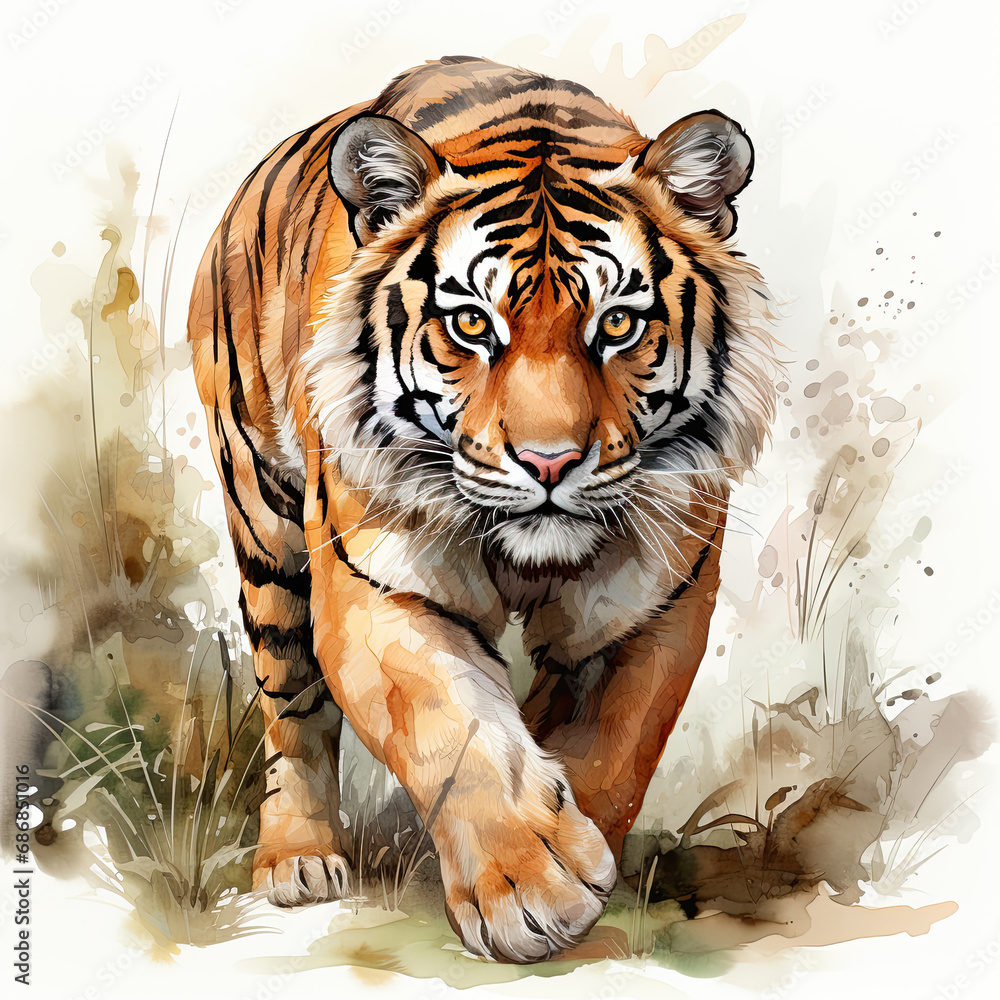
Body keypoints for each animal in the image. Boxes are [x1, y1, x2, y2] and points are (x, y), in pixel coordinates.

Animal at [187, 55, 776, 964]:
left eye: (618, 324)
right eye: (471, 322)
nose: (549, 461)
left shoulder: (650, 608)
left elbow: (612, 747)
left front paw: (579, 857)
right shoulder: (377, 584)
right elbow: (447, 721)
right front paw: (529, 890)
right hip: (263, 524)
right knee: (292, 708)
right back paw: (299, 858)